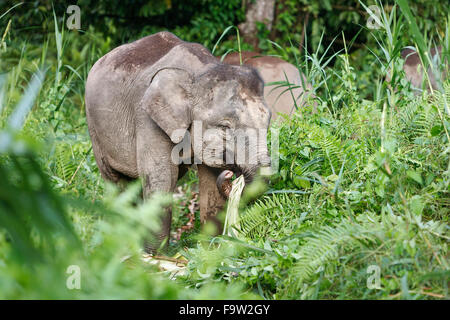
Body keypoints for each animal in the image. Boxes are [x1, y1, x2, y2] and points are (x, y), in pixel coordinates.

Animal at [86, 31, 272, 252]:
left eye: (268, 121)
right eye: (225, 126)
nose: (231, 174)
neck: (200, 72)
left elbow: (210, 183)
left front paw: (209, 250)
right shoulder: (147, 120)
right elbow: (162, 180)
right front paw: (155, 256)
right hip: (95, 129)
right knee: (117, 183)